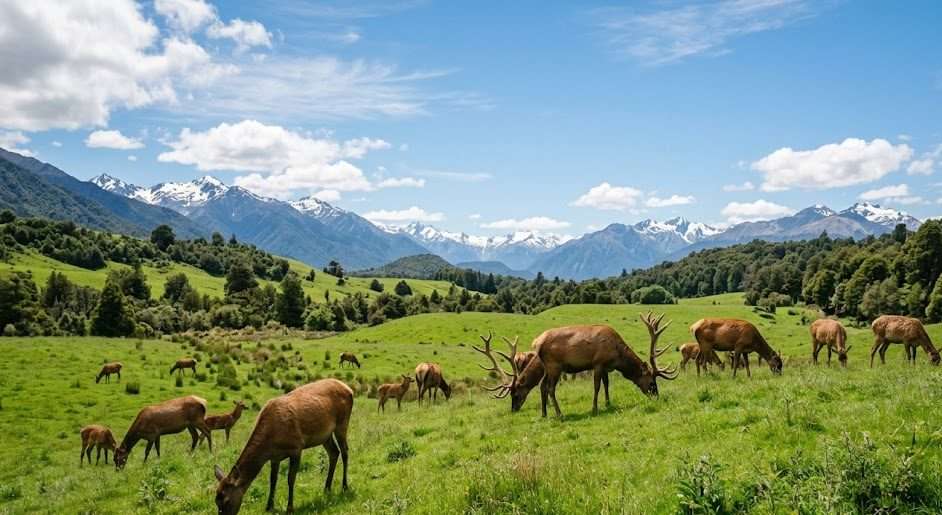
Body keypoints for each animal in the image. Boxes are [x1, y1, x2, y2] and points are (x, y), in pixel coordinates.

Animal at [213, 378, 353, 515]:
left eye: (226, 500)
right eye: (215, 500)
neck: (270, 441)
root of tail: (349, 389)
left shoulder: (297, 447)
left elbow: (291, 478)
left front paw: (290, 508)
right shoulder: (274, 457)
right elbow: (273, 480)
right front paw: (269, 506)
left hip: (342, 423)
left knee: (345, 451)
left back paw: (345, 486)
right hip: (325, 436)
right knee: (334, 452)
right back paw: (327, 488)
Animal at [475, 312, 678, 418]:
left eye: (515, 394)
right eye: (651, 382)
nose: (656, 396)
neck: (617, 356)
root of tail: (537, 343)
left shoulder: (605, 367)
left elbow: (606, 384)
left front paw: (608, 403)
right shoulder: (598, 363)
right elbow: (596, 386)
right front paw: (595, 408)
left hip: (549, 367)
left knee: (542, 386)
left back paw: (545, 414)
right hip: (555, 366)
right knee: (549, 388)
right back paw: (559, 414)